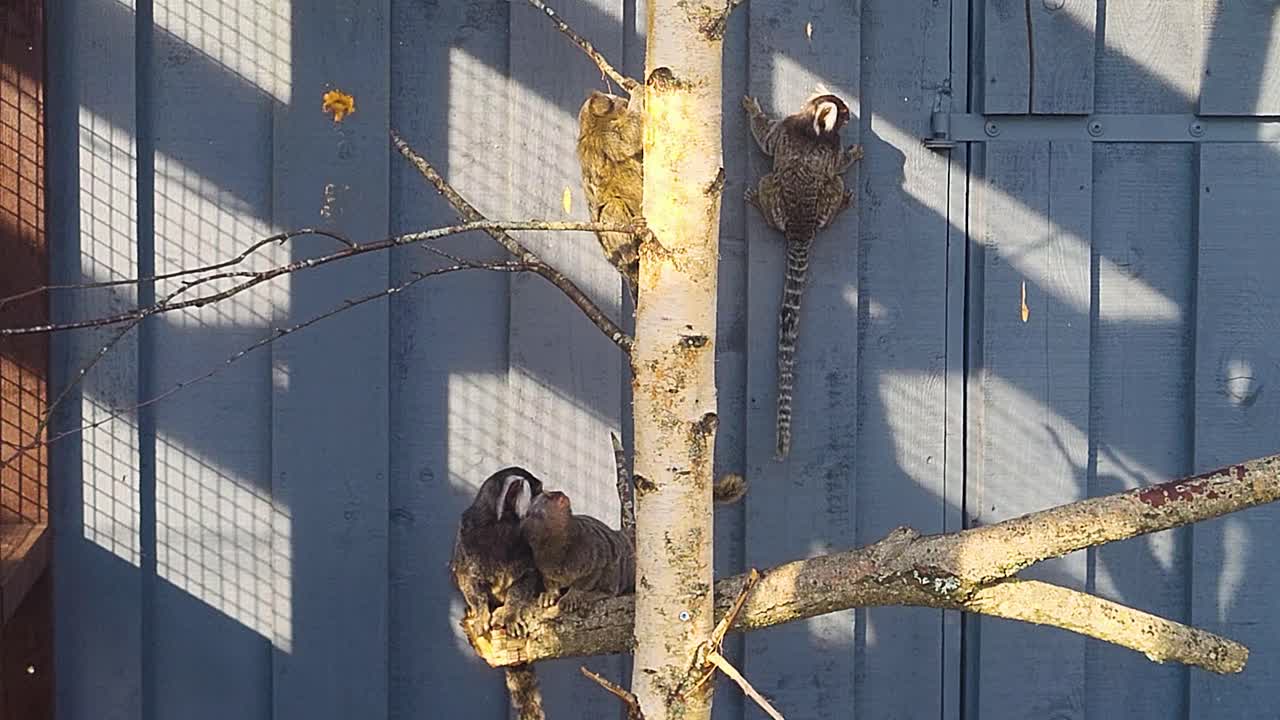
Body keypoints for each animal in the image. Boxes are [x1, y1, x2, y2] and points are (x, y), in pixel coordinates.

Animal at [450, 466, 547, 720]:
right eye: (538, 491)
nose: (546, 496)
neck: (501, 527)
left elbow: (526, 580)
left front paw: (510, 613)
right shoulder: (468, 540)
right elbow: (468, 580)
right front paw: (482, 612)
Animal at [577, 89, 644, 303]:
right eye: (613, 101)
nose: (623, 100)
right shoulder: (606, 136)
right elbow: (629, 142)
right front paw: (639, 92)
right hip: (611, 243)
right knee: (612, 208)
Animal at [743, 92, 863, 460]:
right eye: (843, 113)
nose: (850, 116)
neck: (813, 128)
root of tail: (800, 228)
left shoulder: (788, 131)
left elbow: (767, 142)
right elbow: (835, 167)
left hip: (783, 207)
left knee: (779, 185)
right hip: (813, 209)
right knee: (831, 186)